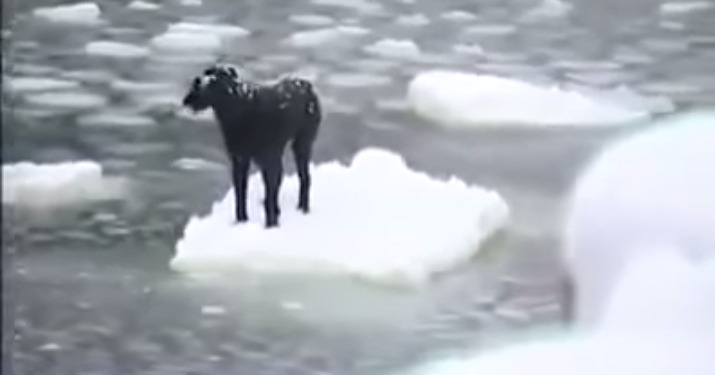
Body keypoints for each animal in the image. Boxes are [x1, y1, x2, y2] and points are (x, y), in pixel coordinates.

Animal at [182, 64, 322, 228]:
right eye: (206, 73)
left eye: (213, 80)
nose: (197, 82)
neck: (239, 109)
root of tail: (308, 86)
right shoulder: (240, 160)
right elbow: (240, 194)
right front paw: (241, 221)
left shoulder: (268, 160)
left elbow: (268, 196)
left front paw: (271, 225)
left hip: (302, 144)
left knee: (304, 178)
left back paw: (303, 208)